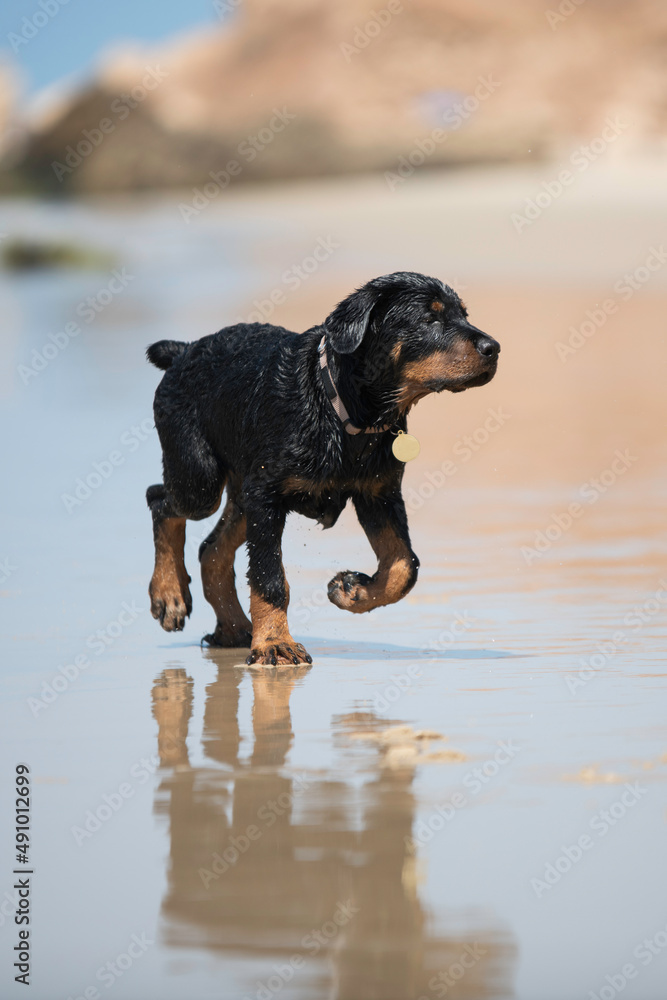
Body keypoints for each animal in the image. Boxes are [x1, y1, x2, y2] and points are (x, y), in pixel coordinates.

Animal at [147, 270, 500, 668]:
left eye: (464, 315)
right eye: (429, 318)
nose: (494, 348)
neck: (345, 411)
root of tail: (182, 351)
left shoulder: (379, 494)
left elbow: (404, 564)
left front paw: (354, 591)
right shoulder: (267, 495)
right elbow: (269, 577)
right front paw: (274, 642)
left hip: (242, 489)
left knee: (211, 549)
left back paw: (233, 629)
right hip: (201, 478)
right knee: (160, 500)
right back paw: (169, 596)